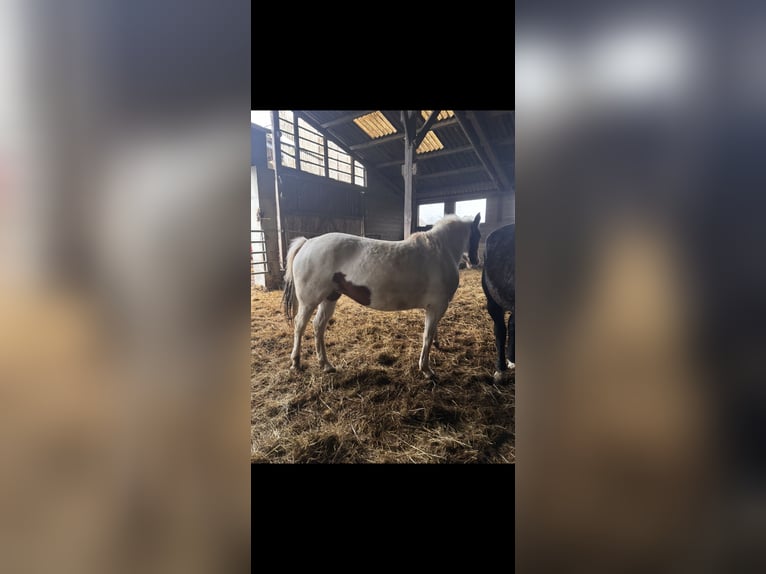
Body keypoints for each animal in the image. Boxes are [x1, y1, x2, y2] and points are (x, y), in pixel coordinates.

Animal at [282, 213, 482, 379]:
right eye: (478, 235)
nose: (476, 260)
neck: (440, 251)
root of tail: (307, 243)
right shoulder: (437, 306)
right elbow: (427, 336)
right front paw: (426, 369)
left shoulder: (434, 308)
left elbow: (432, 333)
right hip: (309, 301)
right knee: (300, 326)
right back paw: (296, 362)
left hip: (329, 297)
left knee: (318, 326)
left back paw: (325, 364)